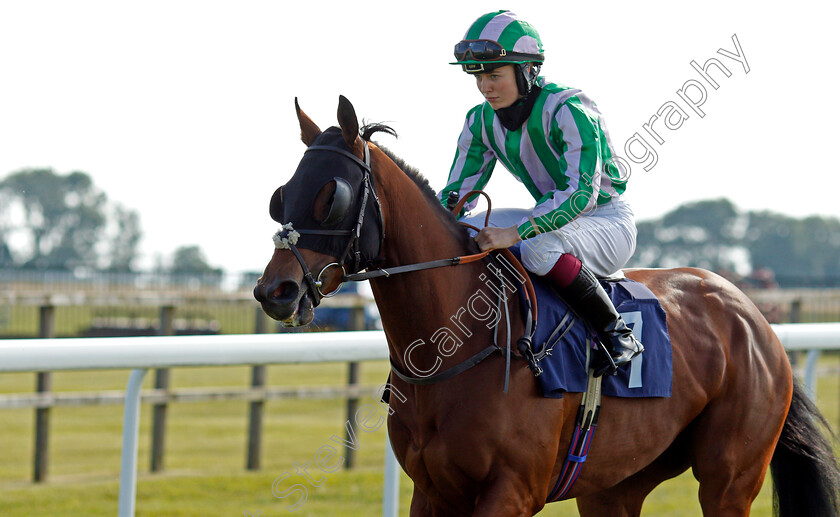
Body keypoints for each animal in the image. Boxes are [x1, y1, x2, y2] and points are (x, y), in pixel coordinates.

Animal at [256, 94, 840, 512]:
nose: (274, 291)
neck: (459, 346)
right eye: (281, 195)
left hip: (730, 476)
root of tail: (754, 316)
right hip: (615, 484)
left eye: (331, 196)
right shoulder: (433, 490)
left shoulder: (512, 490)